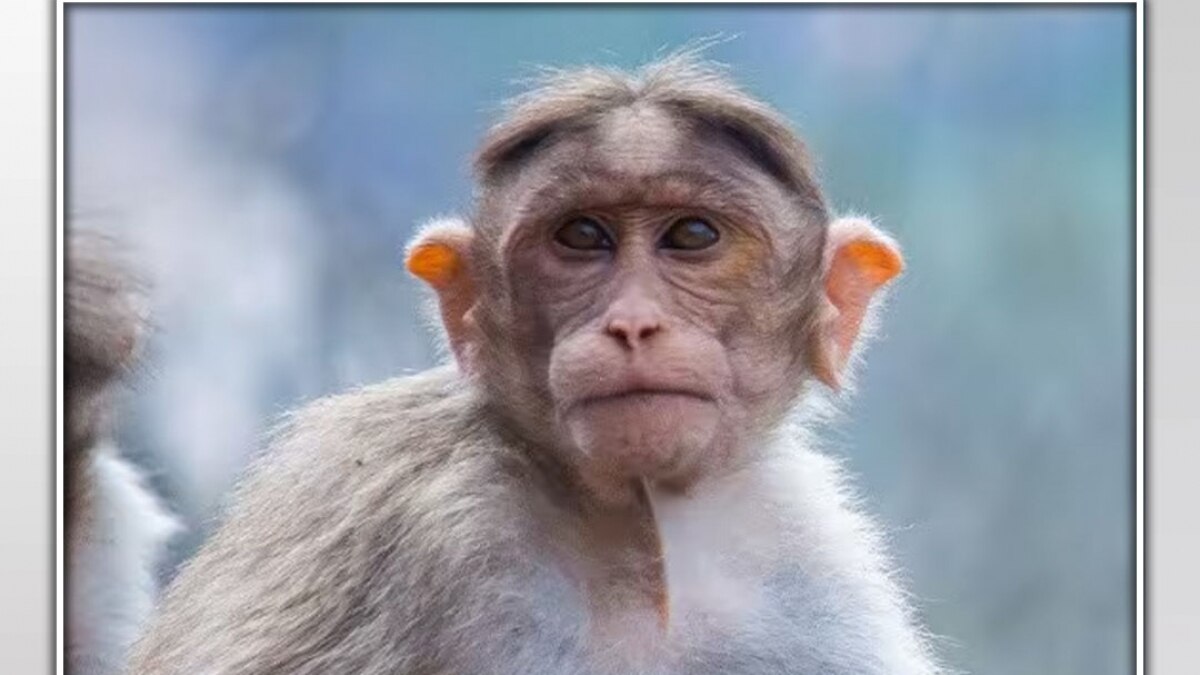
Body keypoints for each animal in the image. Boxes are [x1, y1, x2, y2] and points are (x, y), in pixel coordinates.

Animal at [124, 53, 939, 674]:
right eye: (581, 236)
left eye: (692, 235)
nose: (632, 323)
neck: (640, 539)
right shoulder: (392, 506)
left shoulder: (808, 573)